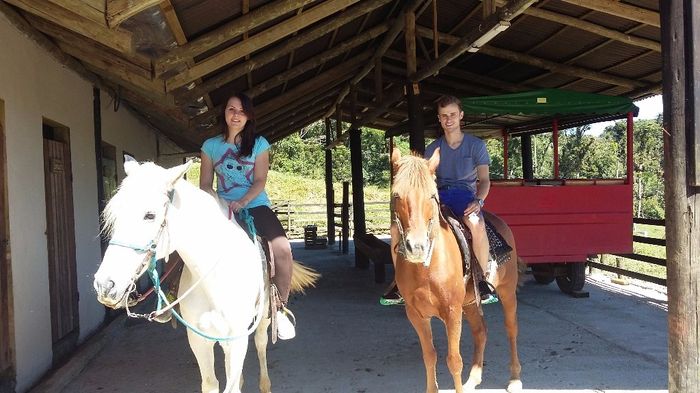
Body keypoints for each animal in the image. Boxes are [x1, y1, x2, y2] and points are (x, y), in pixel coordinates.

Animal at [94, 157, 318, 392]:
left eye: (150, 215)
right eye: (115, 216)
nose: (105, 285)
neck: (214, 281)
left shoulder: (236, 340)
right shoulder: (199, 340)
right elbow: (211, 384)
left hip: (264, 316)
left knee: (260, 344)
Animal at [392, 149, 524, 392]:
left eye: (432, 196)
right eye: (396, 195)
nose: (417, 247)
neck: (427, 267)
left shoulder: (452, 312)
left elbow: (454, 361)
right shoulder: (416, 315)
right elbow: (429, 356)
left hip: (507, 292)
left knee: (511, 328)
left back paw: (515, 379)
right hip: (470, 303)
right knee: (480, 332)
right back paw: (473, 379)